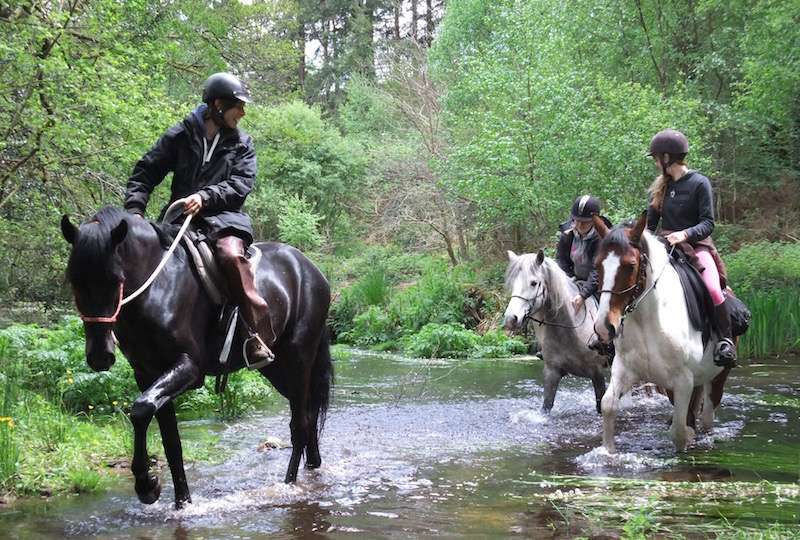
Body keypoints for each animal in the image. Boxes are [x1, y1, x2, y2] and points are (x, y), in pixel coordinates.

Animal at [60, 207, 332, 506]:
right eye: (74, 281)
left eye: (116, 279)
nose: (100, 356)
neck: (159, 287)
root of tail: (311, 269)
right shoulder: (147, 373)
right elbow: (170, 442)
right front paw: (180, 501)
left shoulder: (190, 367)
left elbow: (140, 409)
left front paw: (147, 485)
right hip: (277, 369)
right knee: (308, 416)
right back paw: (313, 467)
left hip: (299, 359)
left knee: (300, 425)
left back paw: (289, 484)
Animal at [504, 250, 608, 414]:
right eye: (512, 283)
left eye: (534, 283)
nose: (510, 319)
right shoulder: (552, 372)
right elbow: (547, 405)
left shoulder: (597, 373)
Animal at [592, 213, 728, 454]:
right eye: (598, 265)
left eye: (631, 265)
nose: (604, 327)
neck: (648, 321)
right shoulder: (625, 370)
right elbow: (608, 406)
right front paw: (609, 452)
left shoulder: (683, 381)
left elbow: (679, 433)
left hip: (717, 377)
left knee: (706, 419)